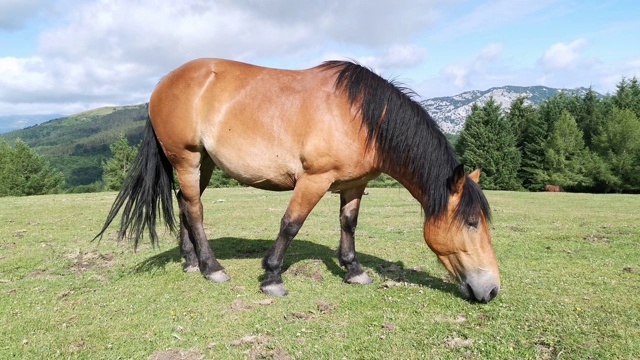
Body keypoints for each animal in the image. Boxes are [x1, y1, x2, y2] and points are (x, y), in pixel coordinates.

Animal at [96, 57, 500, 302]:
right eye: (471, 222)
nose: (492, 289)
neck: (362, 117)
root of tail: (162, 85)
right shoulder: (314, 180)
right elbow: (291, 224)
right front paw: (273, 276)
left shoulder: (355, 185)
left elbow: (348, 224)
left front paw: (354, 270)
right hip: (186, 158)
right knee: (194, 209)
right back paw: (213, 269)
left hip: (203, 164)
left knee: (185, 203)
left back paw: (191, 261)